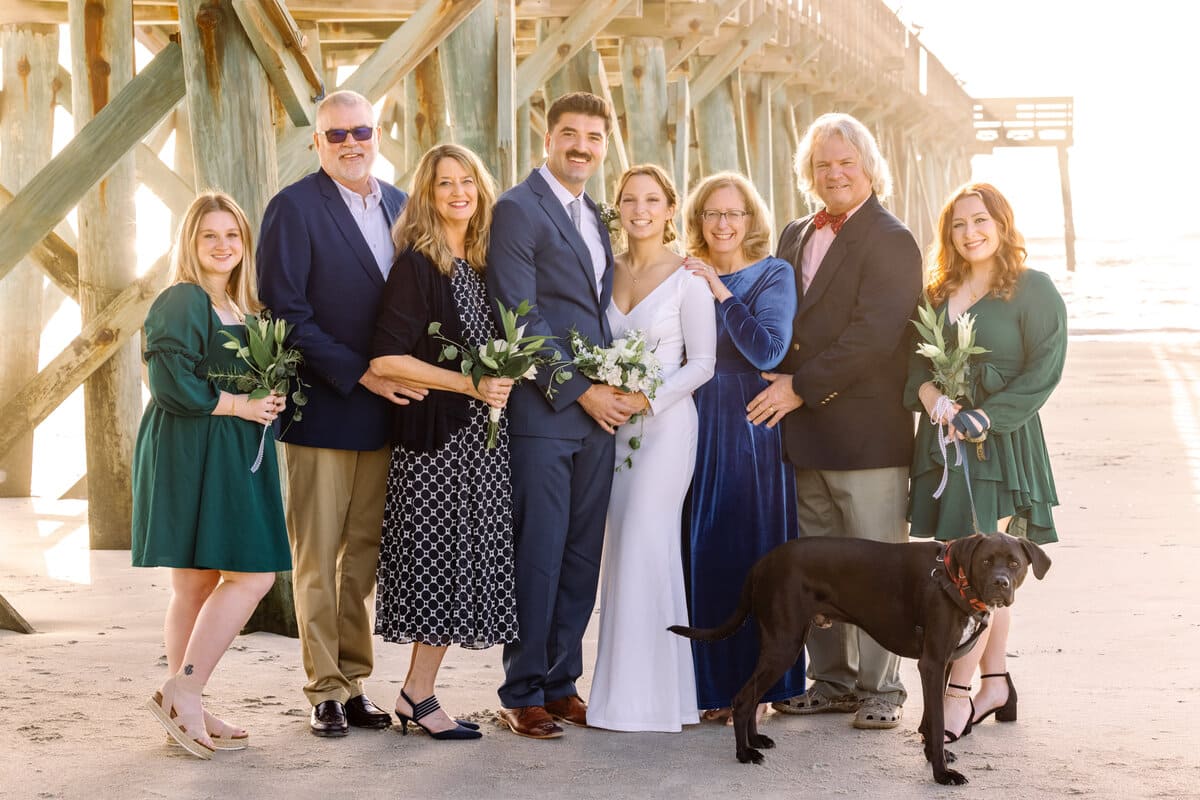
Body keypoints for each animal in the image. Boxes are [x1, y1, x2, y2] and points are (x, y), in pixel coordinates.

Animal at [672, 534, 1046, 786]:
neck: (956, 578)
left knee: (752, 694)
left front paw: (933, 755)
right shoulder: (932, 662)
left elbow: (932, 718)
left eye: (1014, 563)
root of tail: (762, 562)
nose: (1001, 583)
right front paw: (942, 773)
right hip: (784, 644)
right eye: (986, 561)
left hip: (779, 643)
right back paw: (744, 753)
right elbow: (938, 720)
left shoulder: (943, 664)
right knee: (742, 697)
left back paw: (755, 740)